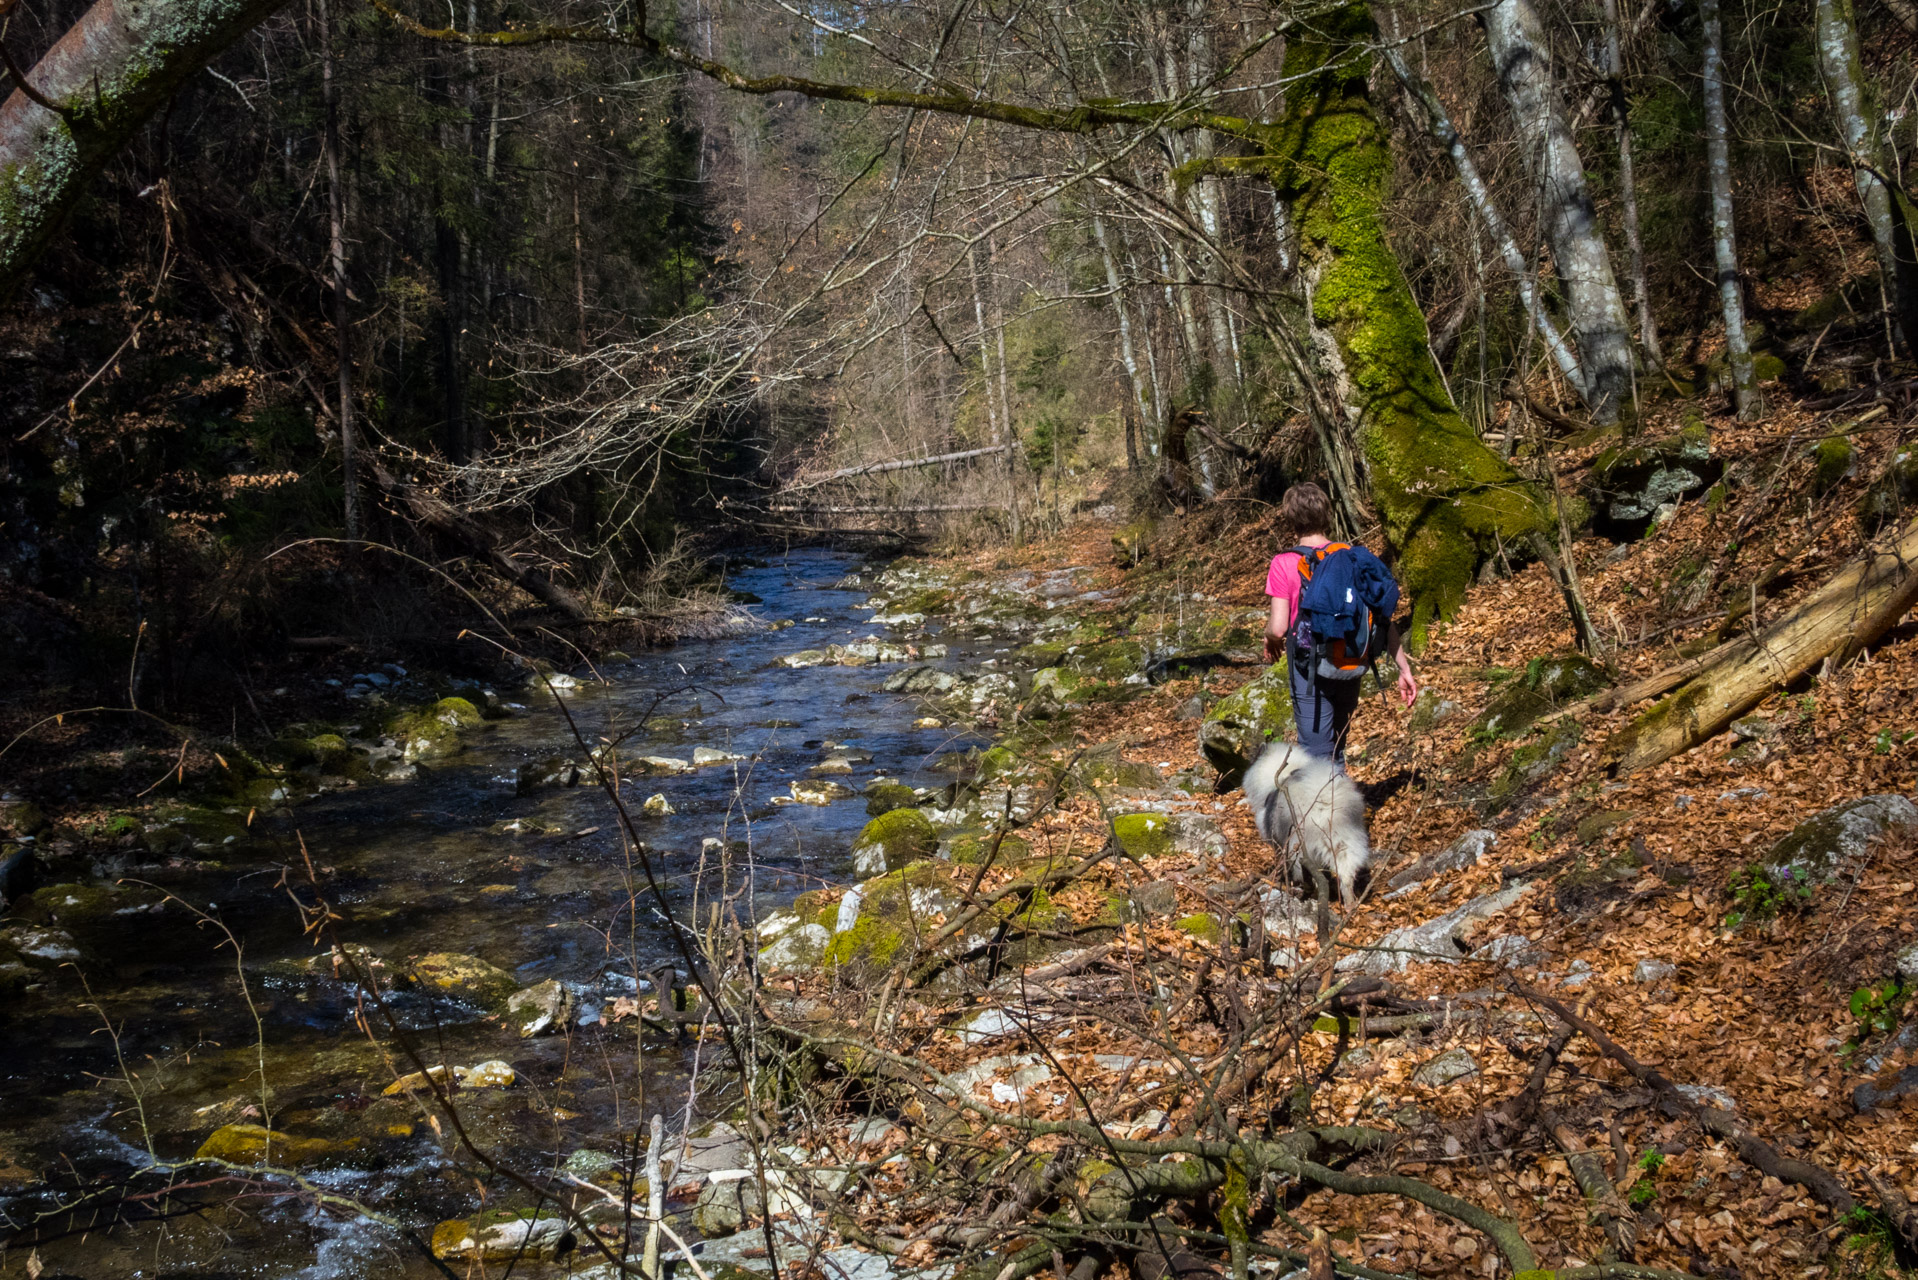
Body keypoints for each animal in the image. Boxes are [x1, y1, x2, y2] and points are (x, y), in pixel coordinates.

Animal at [1235, 740, 1373, 909]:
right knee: (1346, 876)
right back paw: (1349, 904)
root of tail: (1325, 802)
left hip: (1302, 851)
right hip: (1347, 843)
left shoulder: (1279, 844)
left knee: (1314, 878)